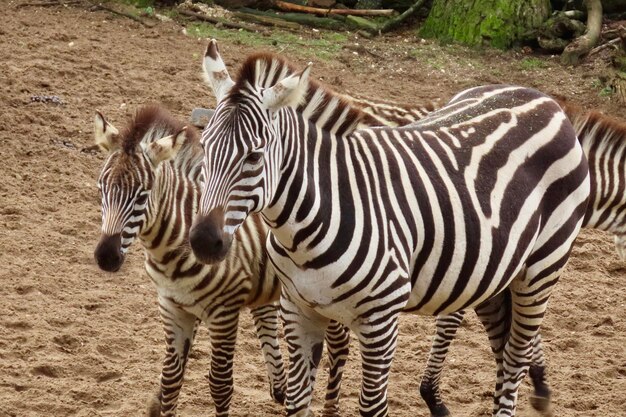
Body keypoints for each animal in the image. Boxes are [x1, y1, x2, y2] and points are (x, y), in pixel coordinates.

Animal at [91, 105, 352, 416]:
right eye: (101, 187)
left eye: (142, 195)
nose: (106, 256)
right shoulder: (172, 306)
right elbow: (171, 379)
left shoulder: (224, 312)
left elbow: (220, 384)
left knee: (339, 345)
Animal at [188, 39, 588, 416]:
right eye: (204, 146)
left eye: (254, 156)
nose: (204, 241)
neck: (304, 229)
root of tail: (541, 97)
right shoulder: (298, 308)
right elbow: (298, 402)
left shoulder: (381, 318)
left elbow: (372, 406)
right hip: (491, 273)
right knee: (503, 351)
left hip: (542, 268)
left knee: (515, 357)